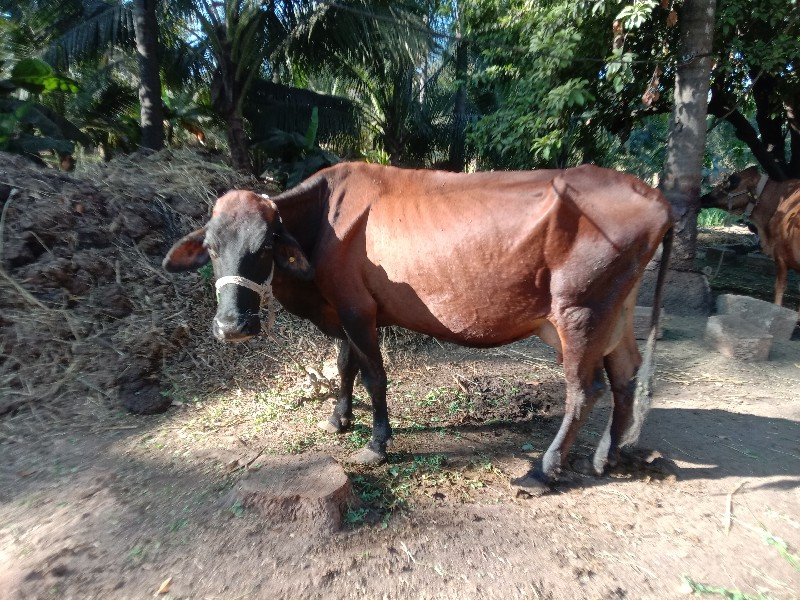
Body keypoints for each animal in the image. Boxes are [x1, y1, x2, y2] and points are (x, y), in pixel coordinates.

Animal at [166, 163, 672, 492]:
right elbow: (345, 365)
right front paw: (339, 418)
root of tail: (654, 195)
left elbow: (374, 375)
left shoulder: (357, 310)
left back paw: (541, 472)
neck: (322, 219)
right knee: (625, 376)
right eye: (211, 248)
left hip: (579, 310)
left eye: (266, 244)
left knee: (584, 389)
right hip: (616, 311)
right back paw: (606, 457)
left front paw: (377, 443)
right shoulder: (344, 311)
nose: (232, 325)